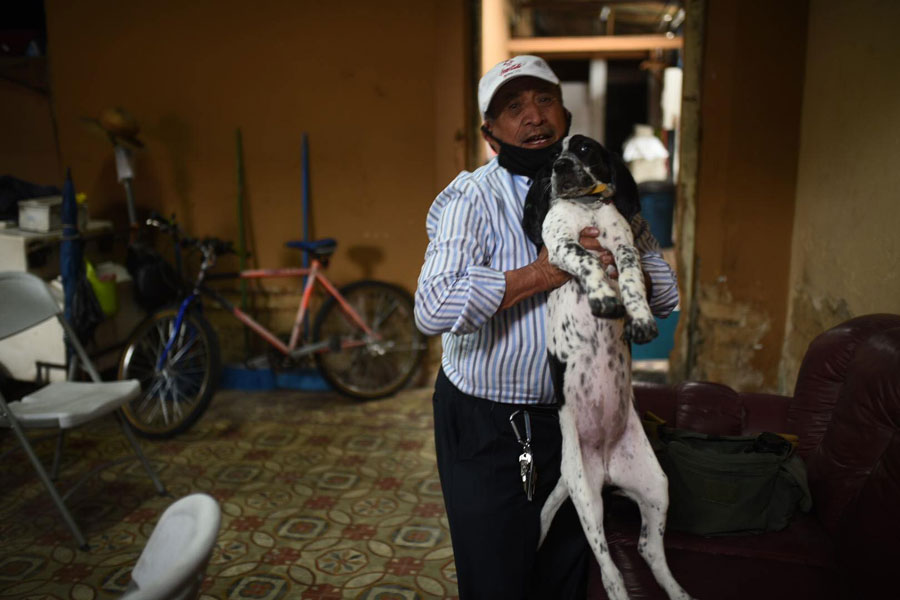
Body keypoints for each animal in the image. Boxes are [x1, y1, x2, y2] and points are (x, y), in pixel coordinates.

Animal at [524, 135, 692, 600]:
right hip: (586, 499)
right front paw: (601, 297)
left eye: (583, 149)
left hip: (656, 487)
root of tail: (605, 464)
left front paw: (640, 319)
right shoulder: (562, 244)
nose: (561, 167)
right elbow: (587, 260)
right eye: (550, 157)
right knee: (608, 565)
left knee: (648, 549)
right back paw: (619, 590)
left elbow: (632, 280)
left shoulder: (624, 247)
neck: (586, 209)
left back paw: (677, 590)